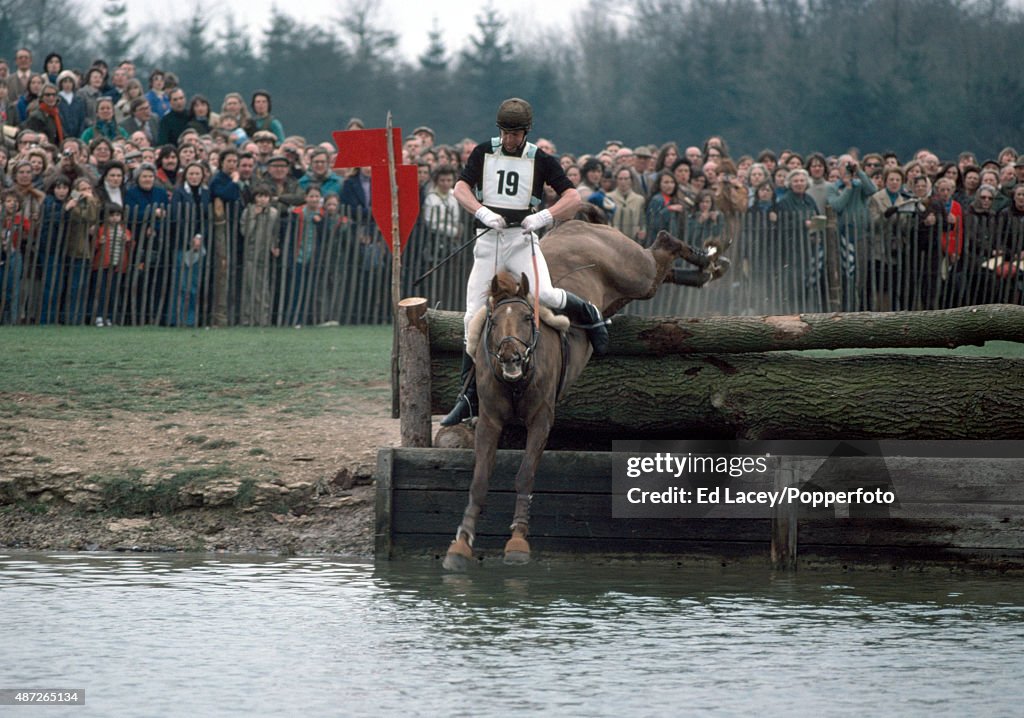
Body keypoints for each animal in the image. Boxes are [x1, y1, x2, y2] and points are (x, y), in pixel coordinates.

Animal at [440, 221, 720, 569]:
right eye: (493, 322)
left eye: (527, 318)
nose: (510, 358)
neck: (516, 379)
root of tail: (581, 224)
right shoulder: (490, 420)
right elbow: (479, 480)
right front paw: (461, 543)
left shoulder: (541, 419)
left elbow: (525, 475)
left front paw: (518, 540)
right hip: (625, 290)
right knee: (661, 270)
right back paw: (701, 272)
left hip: (634, 272)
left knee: (661, 248)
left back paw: (707, 261)